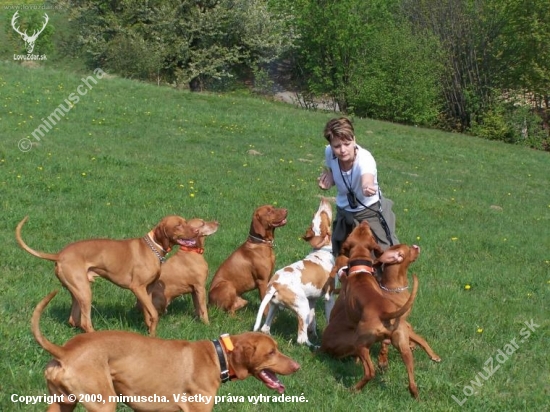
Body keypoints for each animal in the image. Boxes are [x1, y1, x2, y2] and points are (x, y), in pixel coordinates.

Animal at [16, 216, 197, 334]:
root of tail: (59, 255)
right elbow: (154, 313)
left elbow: (149, 314)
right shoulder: (137, 288)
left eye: (186, 221)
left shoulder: (148, 290)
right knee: (85, 322)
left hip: (78, 291)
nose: (196, 230)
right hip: (85, 292)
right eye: (179, 225)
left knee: (74, 320)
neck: (153, 247)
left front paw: (150, 333)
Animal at [34, 290, 302, 412]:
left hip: (62, 404)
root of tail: (65, 350)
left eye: (277, 349)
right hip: (103, 404)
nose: (298, 366)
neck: (216, 356)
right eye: (271, 352)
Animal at [254, 198, 336, 346]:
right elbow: (328, 319)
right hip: (302, 305)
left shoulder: (312, 299)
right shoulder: (329, 296)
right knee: (301, 339)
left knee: (265, 328)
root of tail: (274, 284)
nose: (323, 199)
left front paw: (314, 334)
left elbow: (312, 321)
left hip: (275, 306)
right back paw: (313, 346)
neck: (322, 250)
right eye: (323, 214)